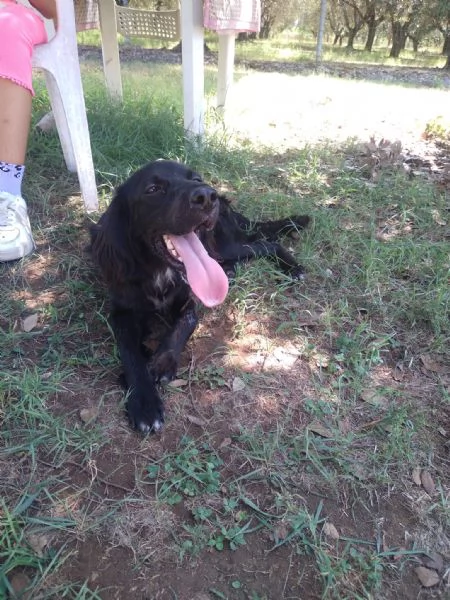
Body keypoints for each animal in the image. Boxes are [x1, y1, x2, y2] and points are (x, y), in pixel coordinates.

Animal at [90, 159, 312, 432]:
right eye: (153, 189)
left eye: (196, 179)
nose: (206, 196)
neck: (159, 270)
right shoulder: (122, 313)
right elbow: (130, 353)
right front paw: (144, 402)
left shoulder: (188, 303)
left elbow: (181, 328)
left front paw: (160, 363)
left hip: (224, 243)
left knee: (268, 244)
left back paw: (292, 267)